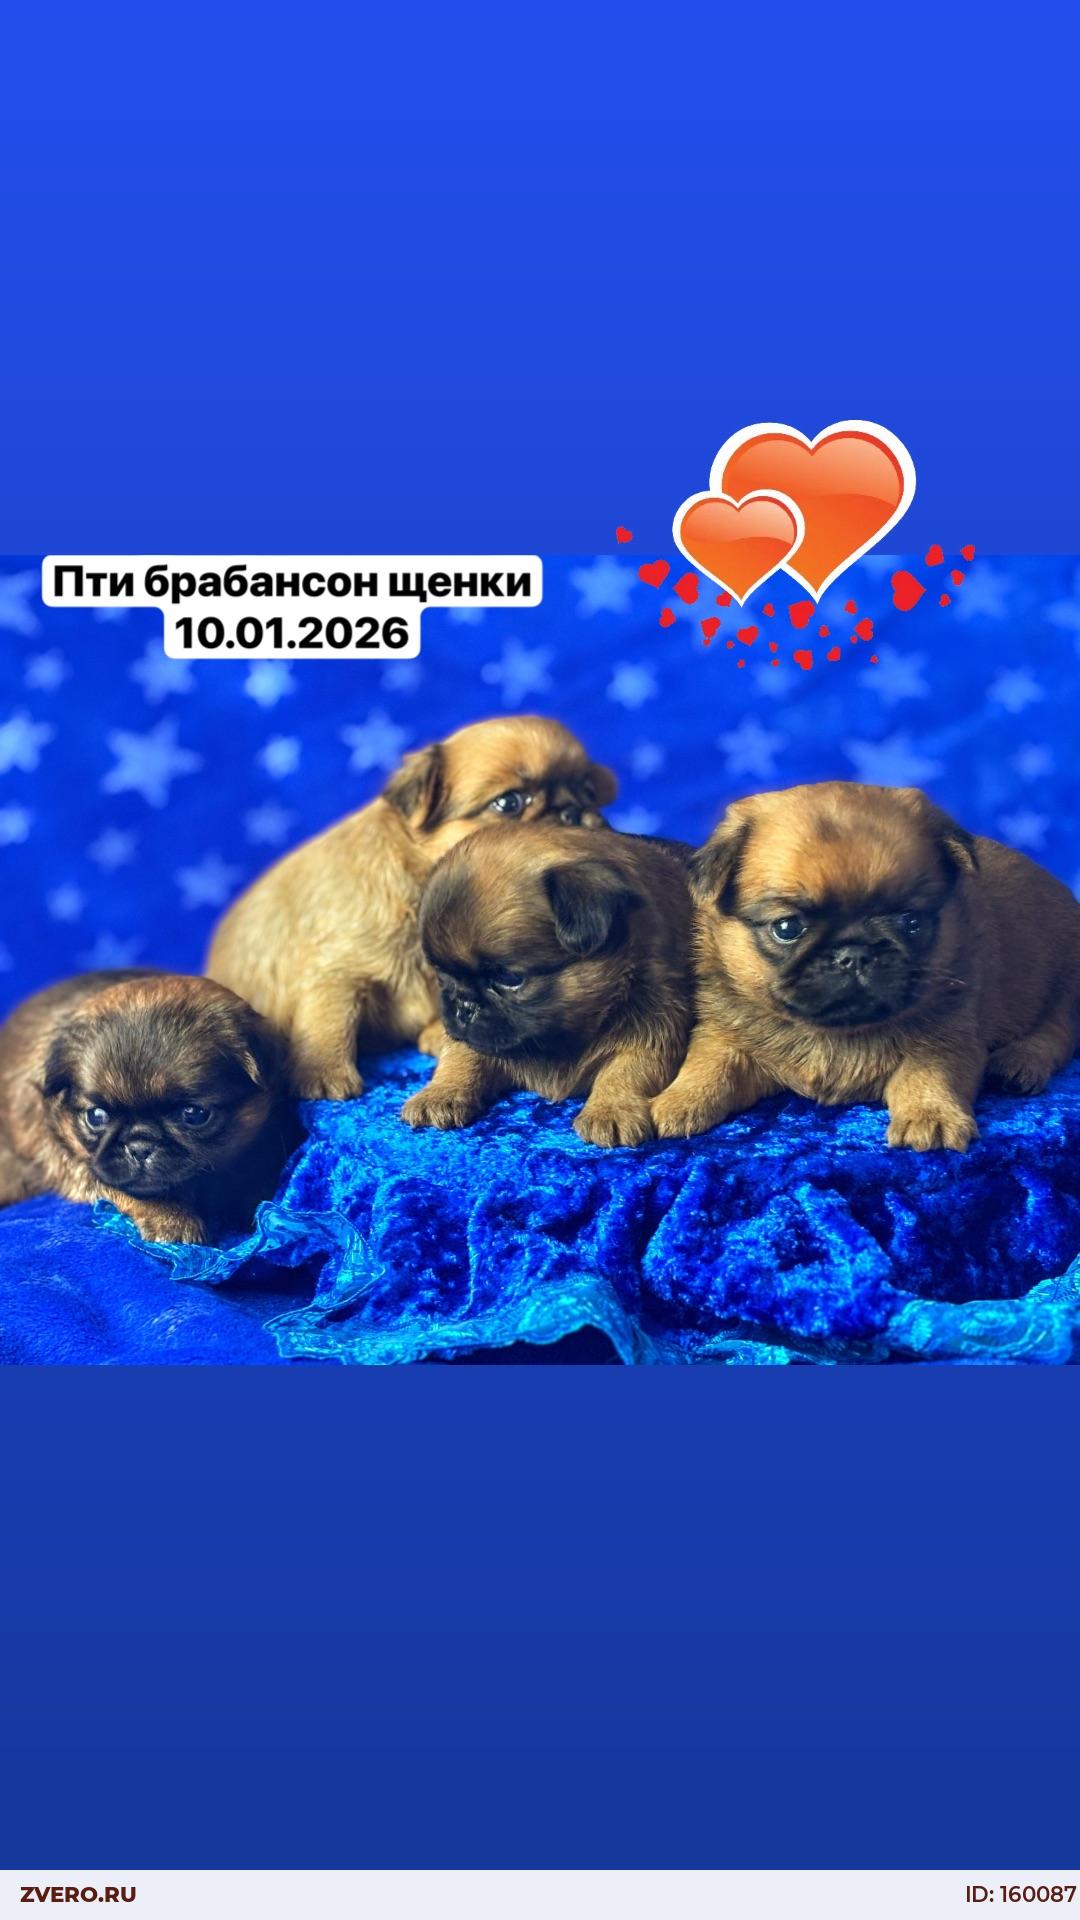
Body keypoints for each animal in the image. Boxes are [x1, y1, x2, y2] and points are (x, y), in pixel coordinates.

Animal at [0, 971, 295, 1243]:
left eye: (194, 1115)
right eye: (96, 1116)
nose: (139, 1146)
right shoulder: (72, 1162)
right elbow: (124, 1188)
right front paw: (171, 1218)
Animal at [207, 715, 617, 1100]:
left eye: (588, 790)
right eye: (509, 803)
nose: (574, 812)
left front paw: (440, 1032)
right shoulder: (336, 972)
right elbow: (330, 1021)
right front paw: (322, 1074)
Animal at [401, 823, 693, 1145]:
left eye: (509, 979)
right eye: (442, 975)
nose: (464, 1006)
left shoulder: (652, 1029)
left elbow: (626, 1071)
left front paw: (610, 1108)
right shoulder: (478, 1039)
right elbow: (461, 1056)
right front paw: (440, 1092)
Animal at [650, 781, 1080, 1151]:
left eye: (911, 922)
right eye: (787, 928)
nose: (854, 953)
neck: (837, 1033)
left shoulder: (947, 1039)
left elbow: (929, 1073)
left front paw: (931, 1114)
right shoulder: (725, 1037)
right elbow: (709, 1065)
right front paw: (679, 1100)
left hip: (1065, 987)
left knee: (1057, 1032)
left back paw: (1020, 1063)